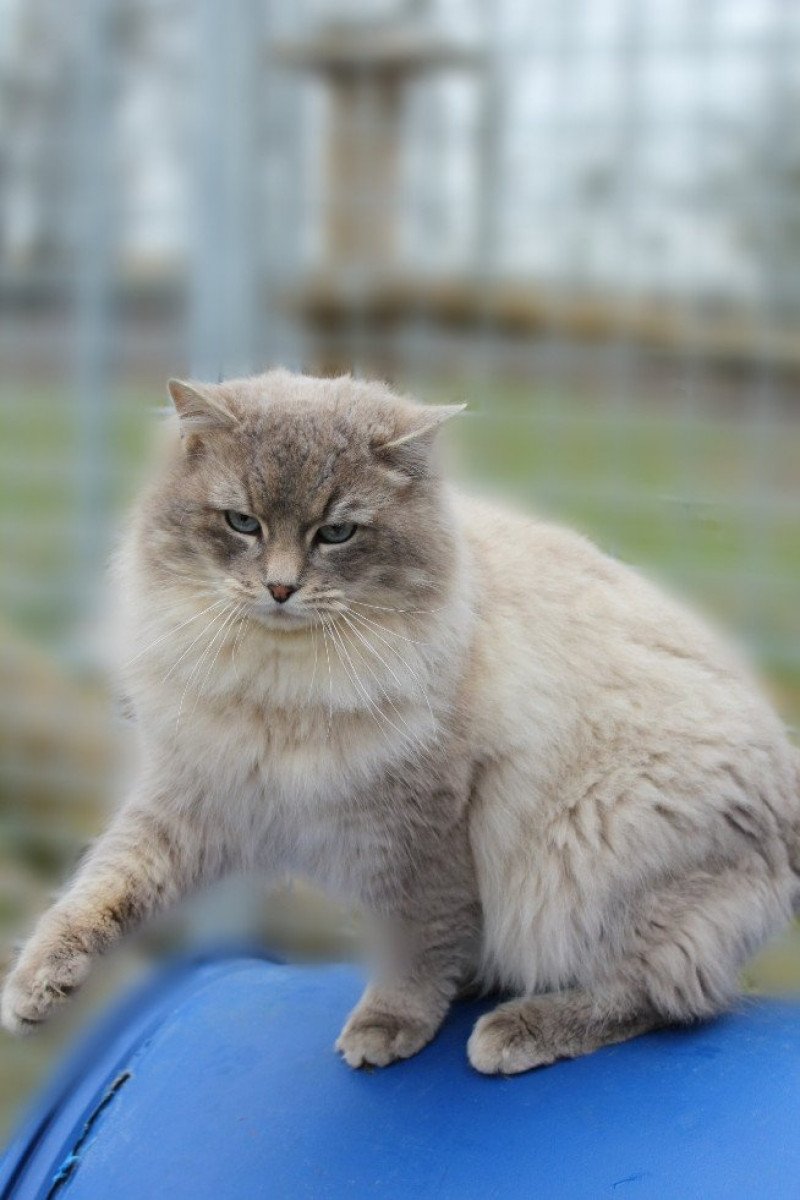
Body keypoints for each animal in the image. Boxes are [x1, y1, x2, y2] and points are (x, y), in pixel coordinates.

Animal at [1, 369, 800, 1075]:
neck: (282, 676)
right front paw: (32, 992)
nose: (280, 589)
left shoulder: (424, 831)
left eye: (336, 533)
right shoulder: (197, 796)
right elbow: (99, 892)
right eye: (242, 523)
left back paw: (512, 1030)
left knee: (662, 997)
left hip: (586, 854)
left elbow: (420, 945)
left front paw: (389, 1026)